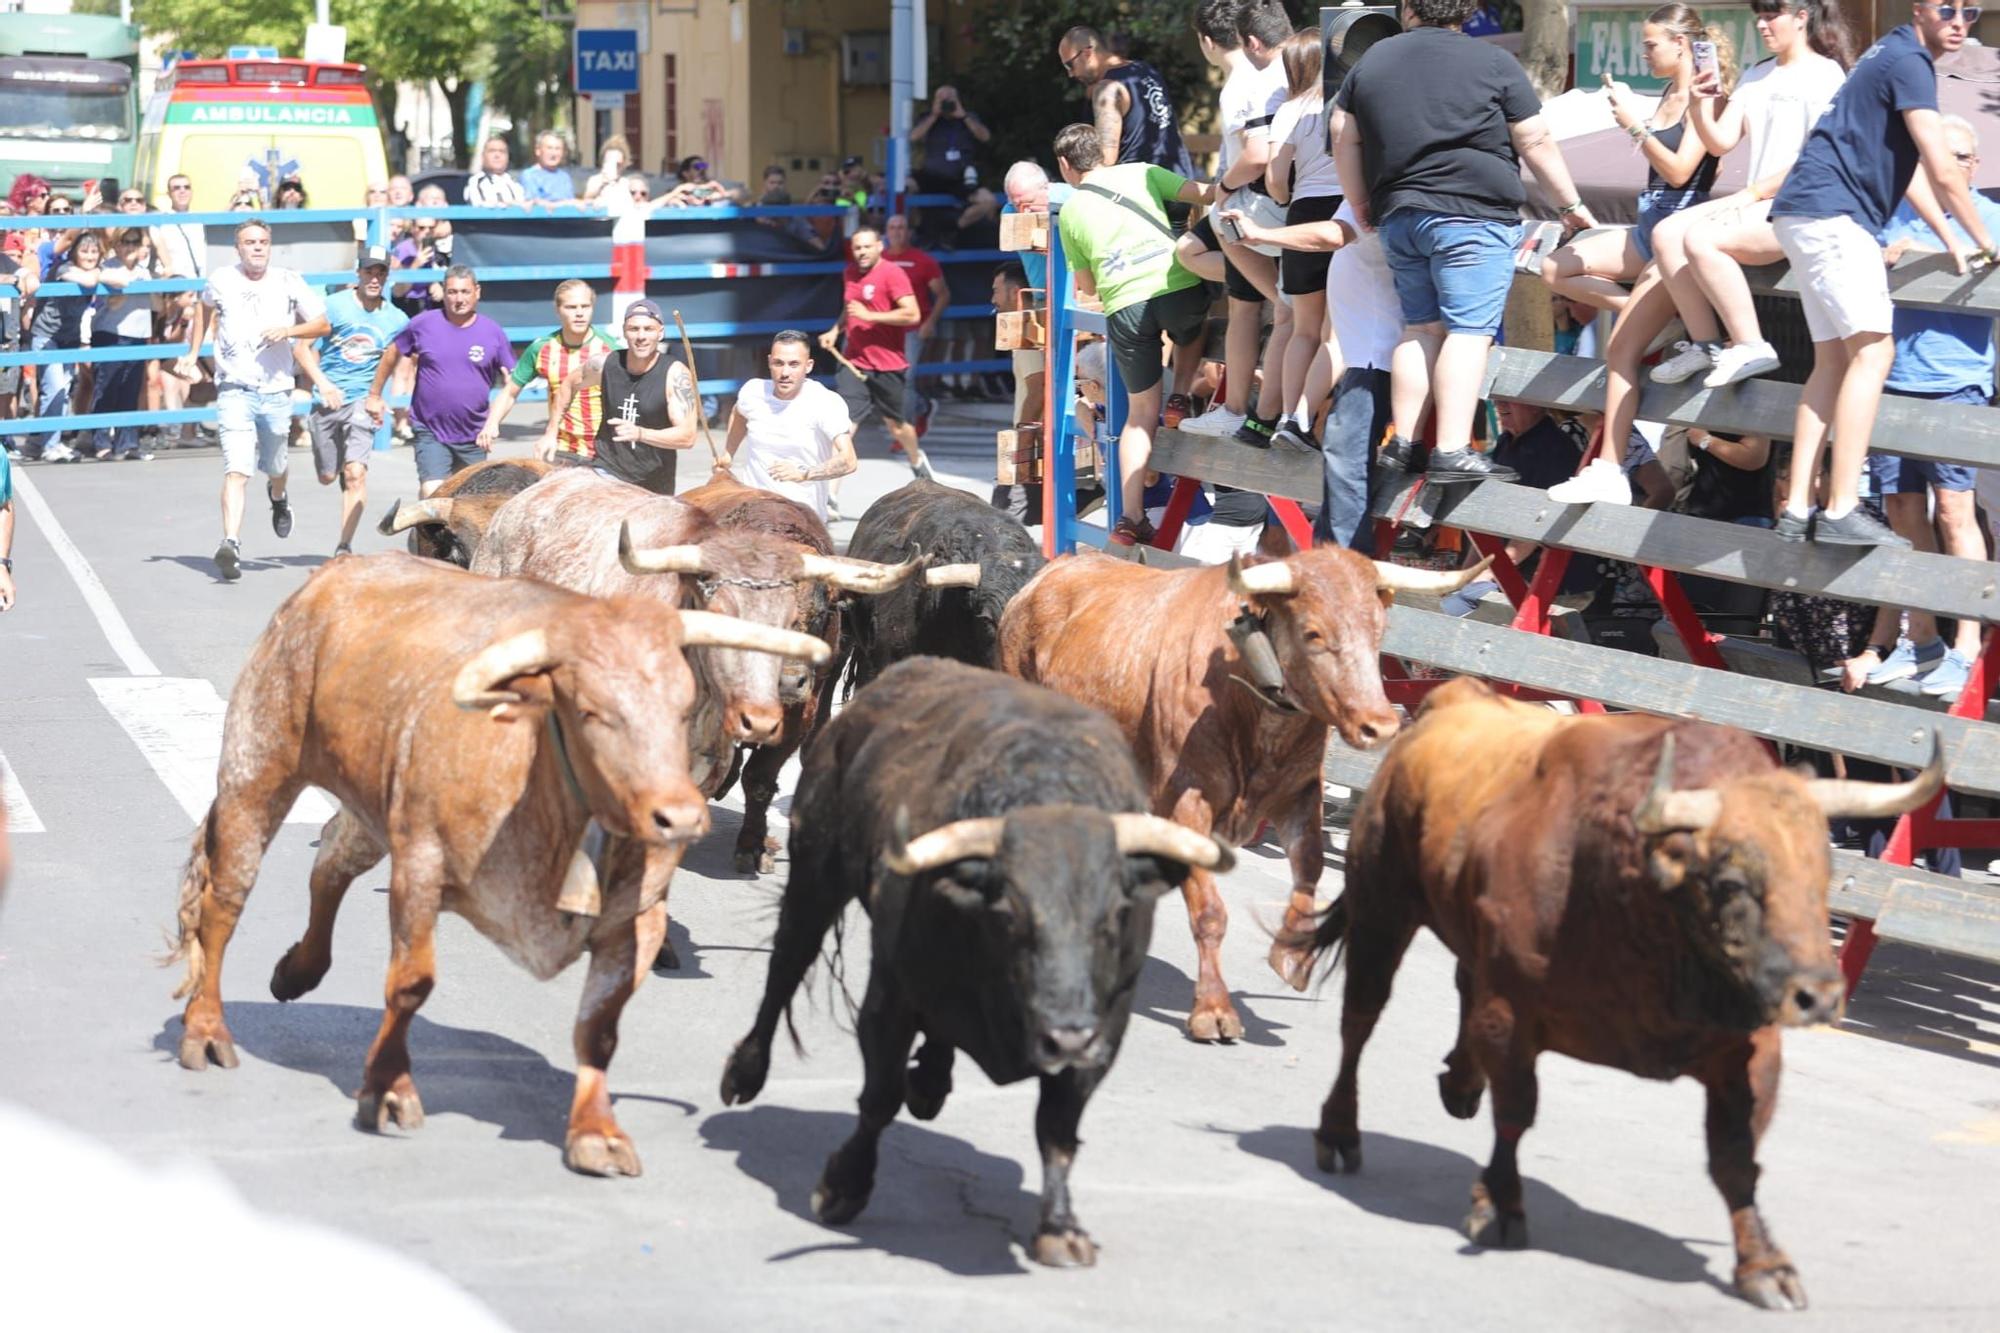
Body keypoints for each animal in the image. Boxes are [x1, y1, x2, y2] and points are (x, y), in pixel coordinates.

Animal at [168, 548, 824, 1176]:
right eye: (591, 710)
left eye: (683, 706)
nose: (680, 817)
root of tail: (332, 577)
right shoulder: (420, 869)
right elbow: (409, 986)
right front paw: (388, 1088)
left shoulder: (635, 921)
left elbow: (599, 1027)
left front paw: (596, 1132)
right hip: (257, 773)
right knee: (224, 902)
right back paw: (206, 1030)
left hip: (373, 803)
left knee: (330, 860)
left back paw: (297, 971)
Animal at [712, 660, 1224, 1264]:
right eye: (1010, 913)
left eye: (1116, 915)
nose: (1064, 1037)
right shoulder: (891, 996)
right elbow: (879, 1098)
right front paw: (843, 1186)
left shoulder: (1105, 1027)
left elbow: (1058, 1127)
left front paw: (1060, 1228)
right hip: (816, 878)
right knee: (786, 968)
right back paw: (744, 1074)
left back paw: (931, 1083)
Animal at [992, 544, 1480, 1040]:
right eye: (1313, 632)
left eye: (1379, 631)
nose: (1379, 725)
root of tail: (1050, 573)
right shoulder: (1183, 804)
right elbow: (1210, 912)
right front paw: (1213, 1008)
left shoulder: (1299, 795)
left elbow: (1310, 867)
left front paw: (1291, 954)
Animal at [1296, 680, 1936, 1304]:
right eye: (1730, 882)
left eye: (1822, 877)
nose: (1819, 996)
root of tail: (1449, 701)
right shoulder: (1511, 1015)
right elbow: (1515, 1113)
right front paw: (1499, 1205)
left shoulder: (1750, 1048)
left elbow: (1735, 1158)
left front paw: (1764, 1264)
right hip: (1382, 909)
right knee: (1359, 1021)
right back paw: (1339, 1132)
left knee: (1459, 986)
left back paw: (1459, 1083)